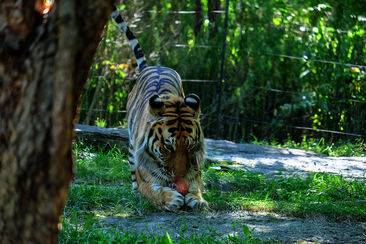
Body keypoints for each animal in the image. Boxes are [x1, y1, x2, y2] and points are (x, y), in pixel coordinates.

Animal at [110, 6, 207, 212]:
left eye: (190, 146)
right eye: (168, 147)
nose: (178, 176)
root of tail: (153, 66)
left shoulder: (195, 168)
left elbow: (196, 184)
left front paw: (197, 199)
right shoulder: (145, 175)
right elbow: (154, 189)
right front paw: (171, 198)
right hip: (132, 149)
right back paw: (135, 194)